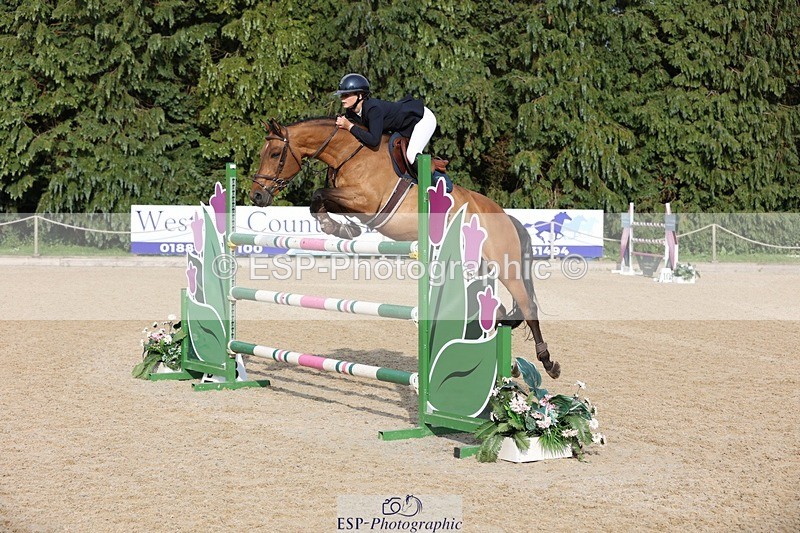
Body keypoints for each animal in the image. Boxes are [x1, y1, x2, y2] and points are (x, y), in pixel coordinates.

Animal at [250, 117, 561, 379]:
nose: (256, 196)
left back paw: (548, 363)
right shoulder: (351, 201)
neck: (350, 152)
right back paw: (508, 363)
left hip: (505, 266)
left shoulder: (366, 200)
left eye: (275, 154)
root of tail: (507, 217)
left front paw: (339, 228)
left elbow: (318, 194)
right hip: (472, 266)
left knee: (527, 307)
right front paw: (343, 229)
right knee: (497, 312)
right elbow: (319, 202)